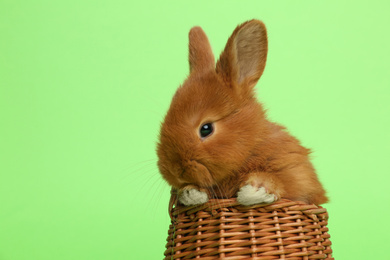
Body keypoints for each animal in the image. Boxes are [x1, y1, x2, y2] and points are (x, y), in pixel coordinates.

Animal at [157, 19, 328, 206]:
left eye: (206, 128)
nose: (175, 170)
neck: (251, 146)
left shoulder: (297, 174)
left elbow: (283, 183)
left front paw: (254, 191)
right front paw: (190, 193)